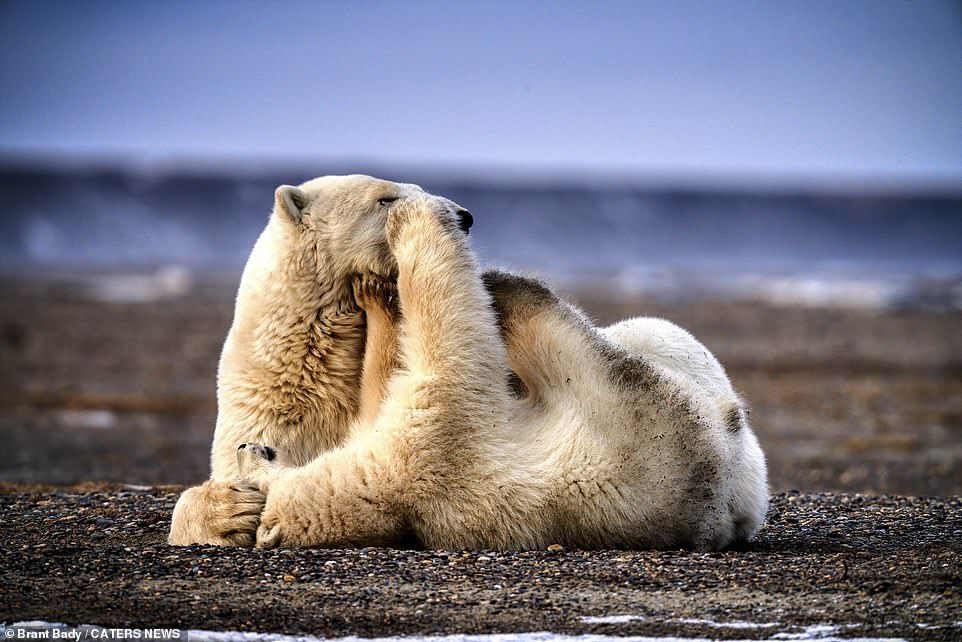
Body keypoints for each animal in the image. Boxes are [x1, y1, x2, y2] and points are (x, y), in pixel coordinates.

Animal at [232, 188, 764, 548]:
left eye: (261, 459)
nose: (247, 445)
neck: (396, 495)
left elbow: (391, 375)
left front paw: (377, 294)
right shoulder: (432, 439)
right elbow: (450, 343)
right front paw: (416, 226)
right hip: (646, 420)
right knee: (572, 329)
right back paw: (505, 282)